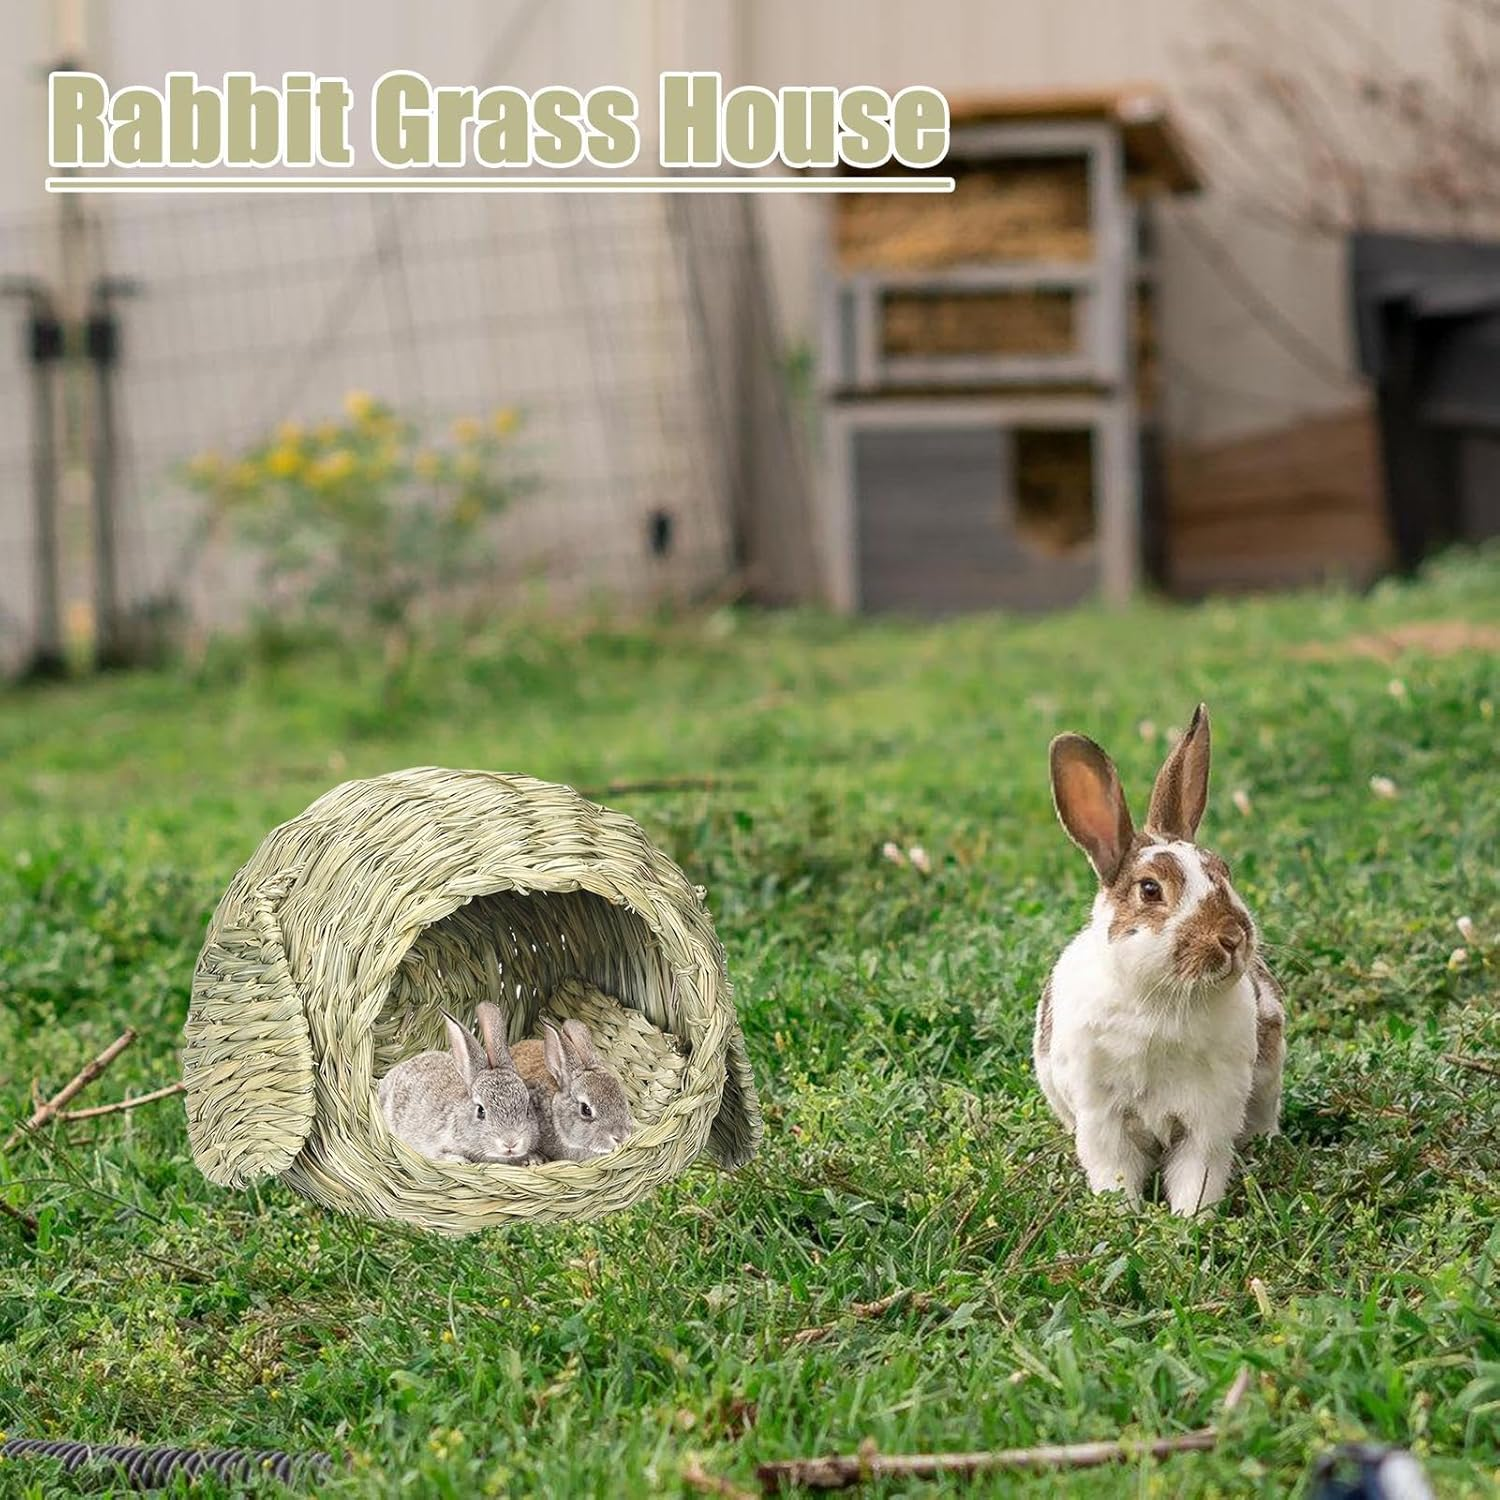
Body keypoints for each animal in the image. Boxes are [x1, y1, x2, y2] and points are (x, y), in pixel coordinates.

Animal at [1035, 703, 1285, 1215]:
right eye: (1150, 890)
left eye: (1224, 872)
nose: (1233, 937)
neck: (1162, 1000)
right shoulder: (1102, 1118)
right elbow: (1114, 1173)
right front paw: (1123, 1218)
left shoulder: (1208, 1118)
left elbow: (1198, 1176)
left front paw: (1190, 1223)